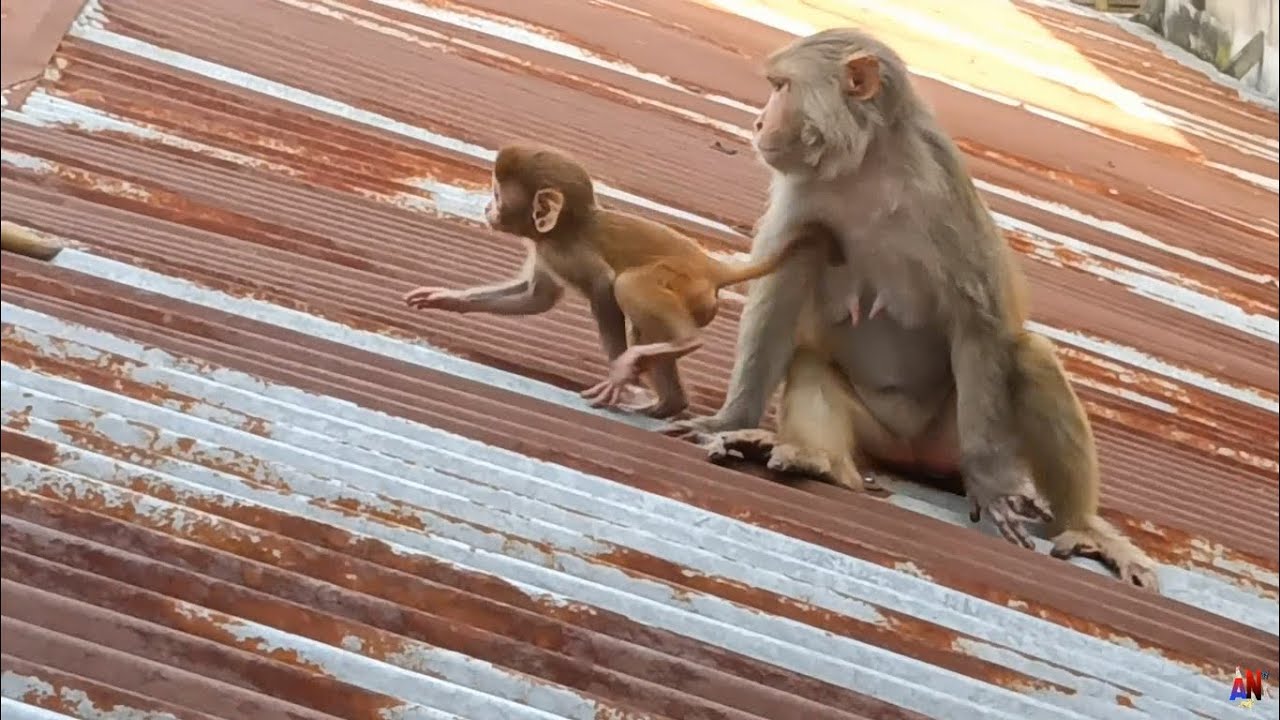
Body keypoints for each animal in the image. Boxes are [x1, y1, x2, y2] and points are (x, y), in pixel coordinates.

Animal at [404, 144, 826, 419]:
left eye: (496, 193)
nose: (487, 208)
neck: (565, 228)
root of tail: (711, 267)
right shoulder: (546, 252)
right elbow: (538, 297)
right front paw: (447, 298)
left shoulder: (567, 252)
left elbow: (605, 291)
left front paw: (618, 375)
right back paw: (670, 405)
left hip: (684, 284)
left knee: (629, 287)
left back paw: (680, 346)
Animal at [662, 29, 1159, 589]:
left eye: (781, 87)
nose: (757, 122)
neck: (865, 168)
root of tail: (913, 454)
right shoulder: (801, 197)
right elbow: (779, 298)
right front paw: (730, 419)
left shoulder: (939, 187)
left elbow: (978, 321)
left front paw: (990, 483)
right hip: (877, 434)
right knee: (810, 363)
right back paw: (819, 462)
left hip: (954, 433)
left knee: (1029, 357)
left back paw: (1082, 526)